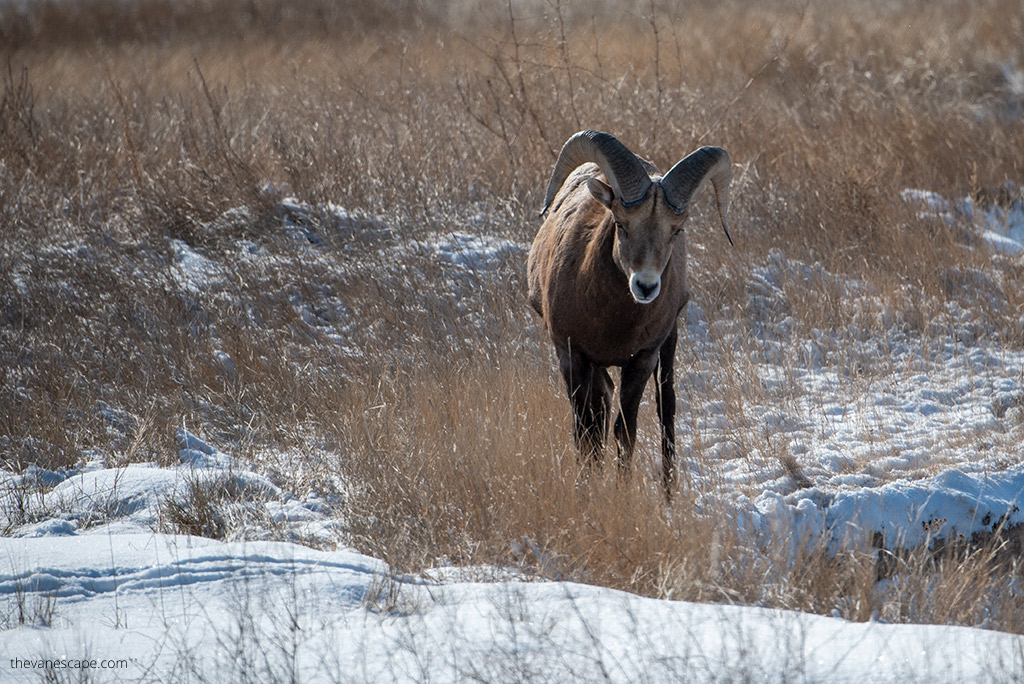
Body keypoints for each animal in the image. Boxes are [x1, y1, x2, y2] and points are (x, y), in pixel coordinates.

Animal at [524, 127, 733, 493]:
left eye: (676, 231)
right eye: (621, 224)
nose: (645, 286)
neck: (612, 322)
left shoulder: (641, 361)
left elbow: (625, 431)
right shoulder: (572, 356)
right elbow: (586, 431)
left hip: (668, 345)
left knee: (666, 408)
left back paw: (668, 493)